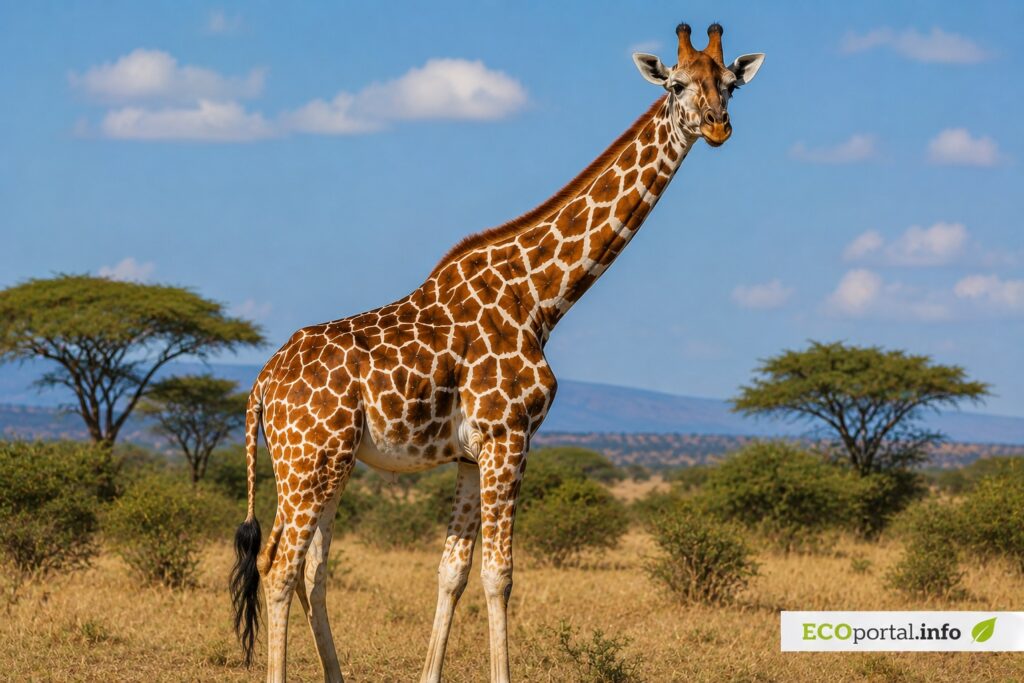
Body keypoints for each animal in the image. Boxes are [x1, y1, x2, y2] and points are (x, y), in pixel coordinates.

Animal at [230, 22, 764, 683]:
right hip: (308, 461)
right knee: (279, 567)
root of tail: (261, 385)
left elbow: (452, 572)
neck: (538, 299)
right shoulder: (510, 437)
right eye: (676, 84)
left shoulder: (468, 452)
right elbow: (498, 574)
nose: (717, 126)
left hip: (327, 464)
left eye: (730, 85)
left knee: (308, 568)